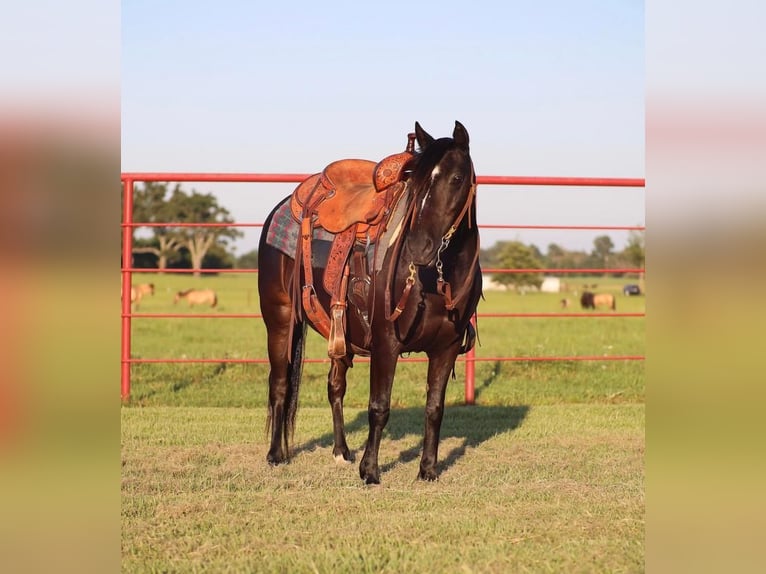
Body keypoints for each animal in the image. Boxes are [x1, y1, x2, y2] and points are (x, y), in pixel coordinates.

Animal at [260, 122, 484, 486]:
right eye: (416, 184)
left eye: (457, 178)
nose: (419, 247)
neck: (436, 278)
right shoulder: (386, 342)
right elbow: (379, 406)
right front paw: (370, 471)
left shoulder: (446, 348)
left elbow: (434, 409)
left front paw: (428, 469)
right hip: (280, 319)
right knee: (280, 383)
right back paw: (276, 454)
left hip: (338, 332)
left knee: (335, 386)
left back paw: (341, 451)